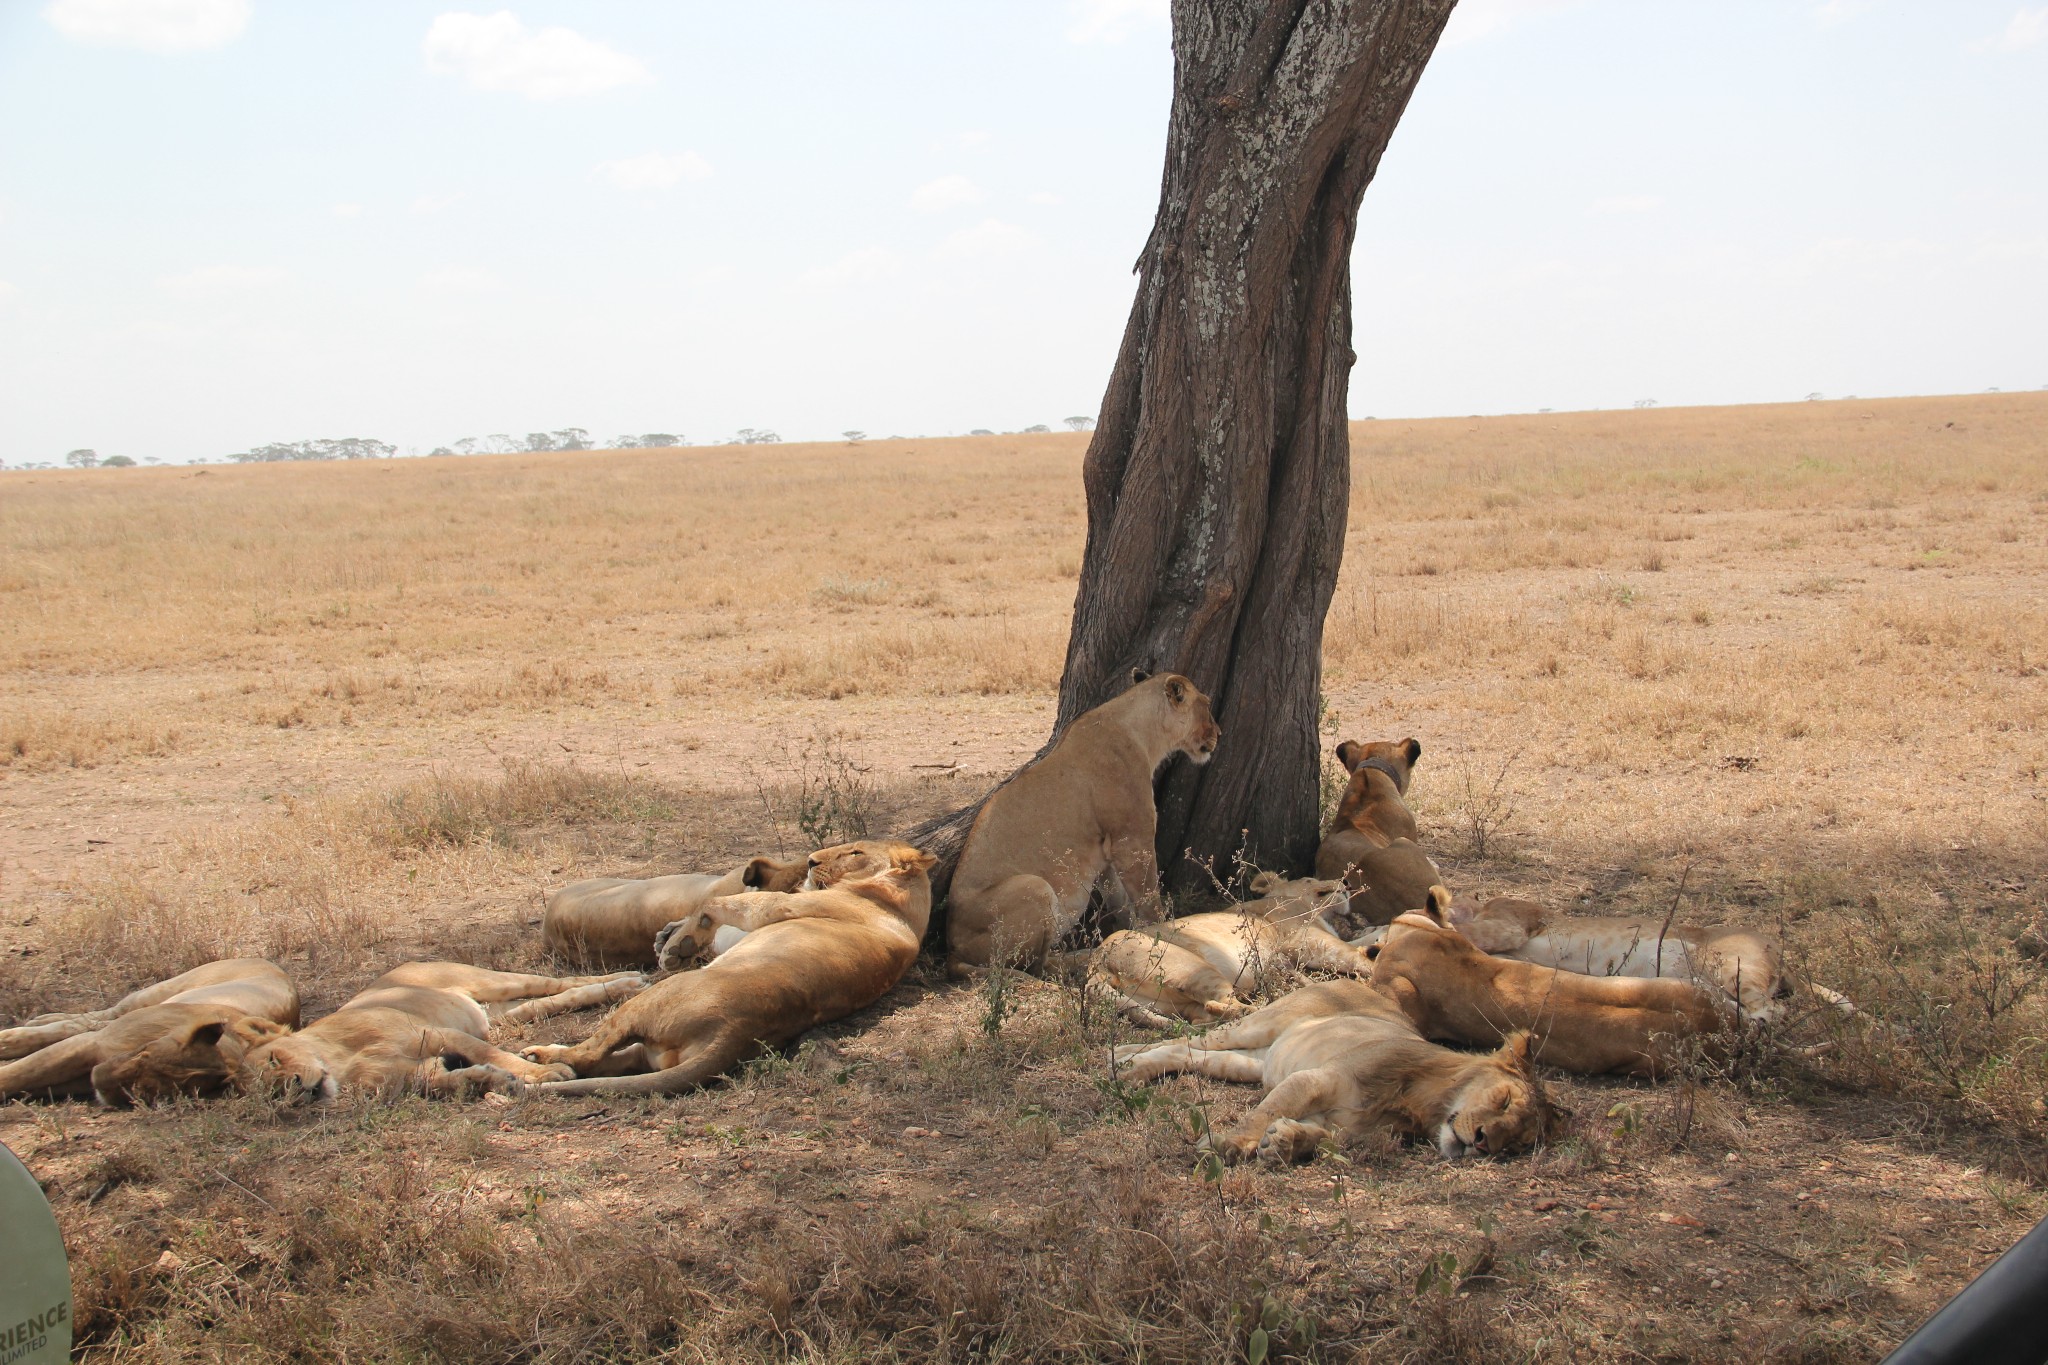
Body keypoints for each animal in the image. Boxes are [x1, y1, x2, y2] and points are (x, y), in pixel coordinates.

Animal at [1097, 875, 1368, 1023]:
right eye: (1309, 879)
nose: (1346, 881)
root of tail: (1097, 961)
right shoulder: (1306, 938)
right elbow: (1354, 955)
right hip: (1197, 969)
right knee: (1222, 1004)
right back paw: (1268, 1009)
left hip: (1166, 1003)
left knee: (1204, 1013)